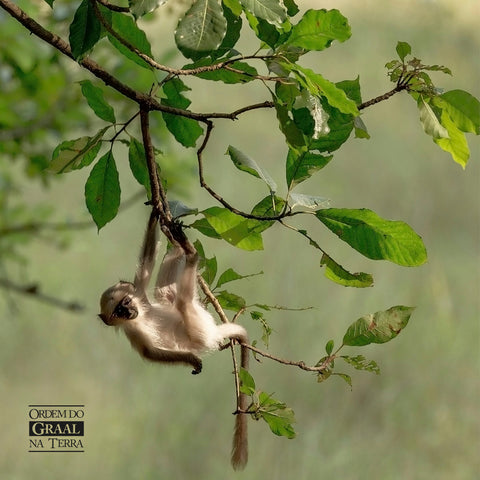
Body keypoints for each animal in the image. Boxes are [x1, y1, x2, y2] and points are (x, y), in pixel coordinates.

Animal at [96, 214, 248, 468]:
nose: (128, 312)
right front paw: (192, 360)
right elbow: (149, 353)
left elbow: (145, 265)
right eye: (118, 311)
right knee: (183, 302)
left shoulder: (139, 296)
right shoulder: (132, 331)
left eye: (125, 302)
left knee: (165, 293)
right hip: (199, 329)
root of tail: (214, 332)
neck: (141, 314)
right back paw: (191, 255)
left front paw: (155, 213)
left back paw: (177, 243)